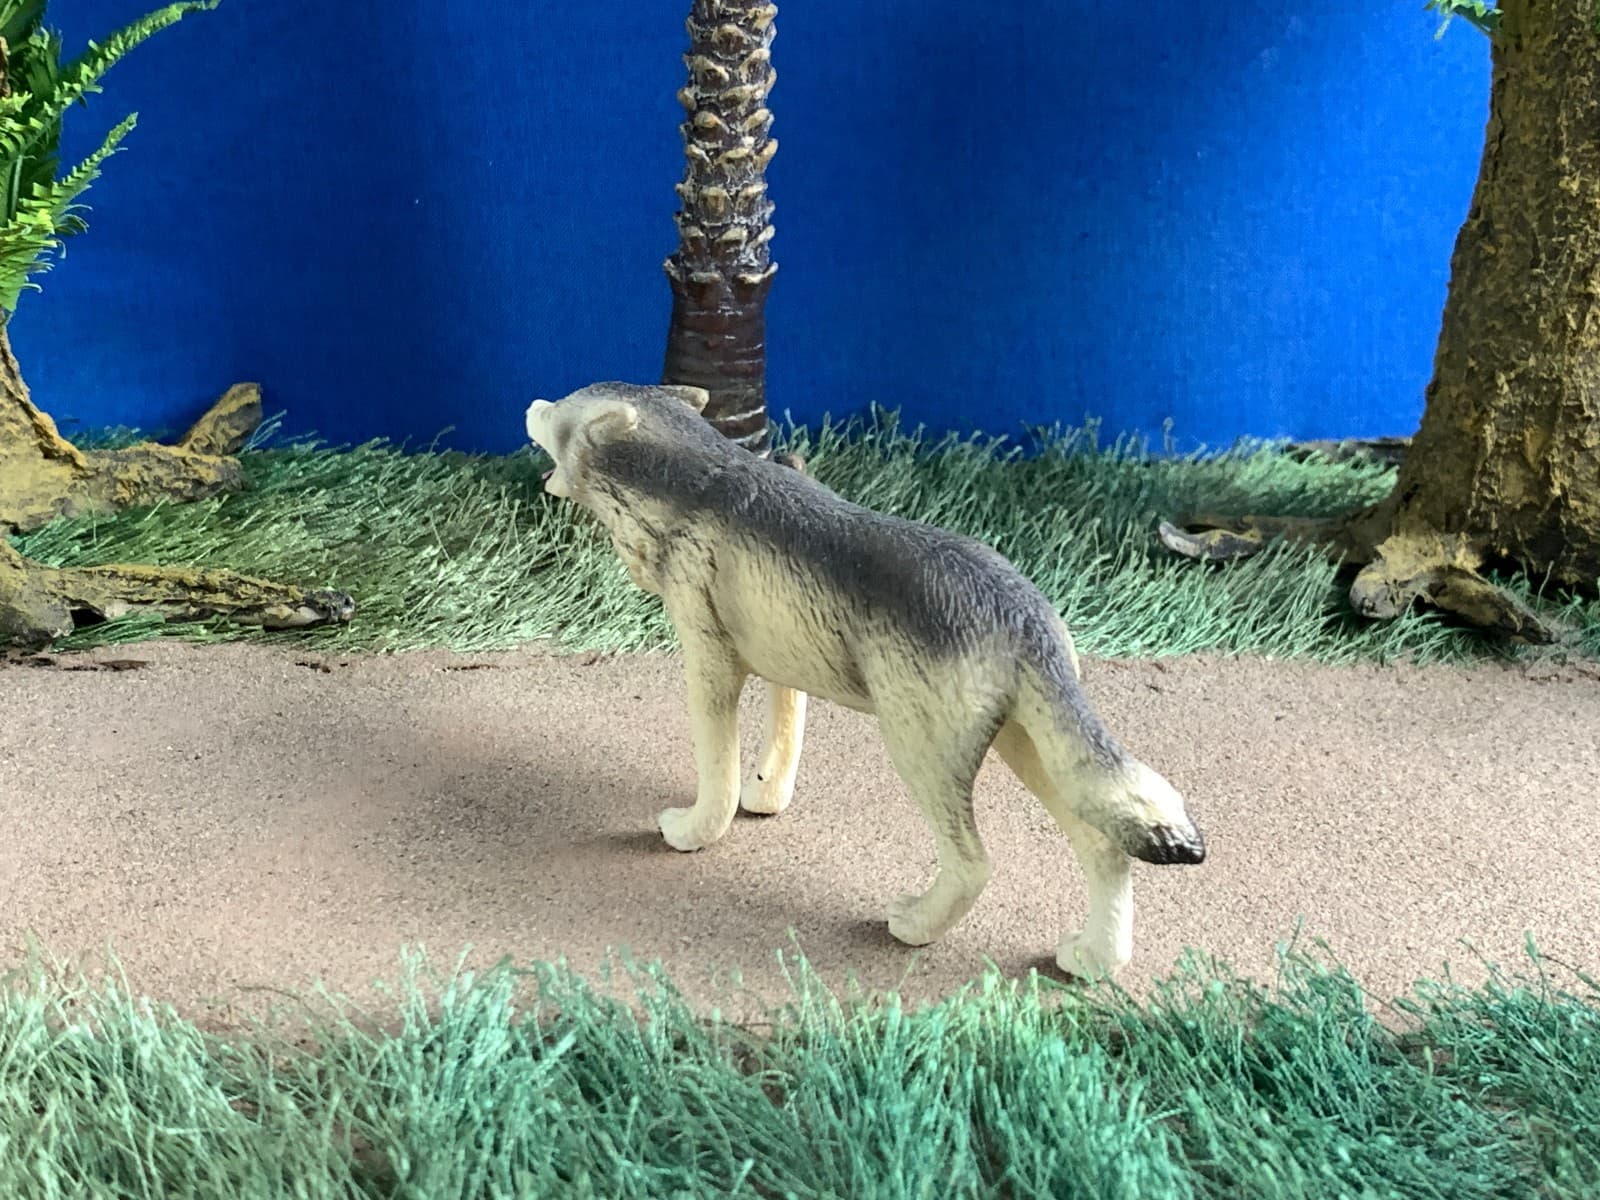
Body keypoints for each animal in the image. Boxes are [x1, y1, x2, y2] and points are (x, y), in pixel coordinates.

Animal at [525, 382, 1205, 976]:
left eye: (559, 409)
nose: (531, 404)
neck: (698, 480)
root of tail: (1024, 616)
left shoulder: (709, 665)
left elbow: (716, 771)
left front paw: (693, 833)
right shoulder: (785, 660)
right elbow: (786, 734)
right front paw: (766, 797)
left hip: (923, 756)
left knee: (974, 865)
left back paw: (914, 926)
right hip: (1031, 751)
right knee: (1104, 849)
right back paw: (1093, 961)